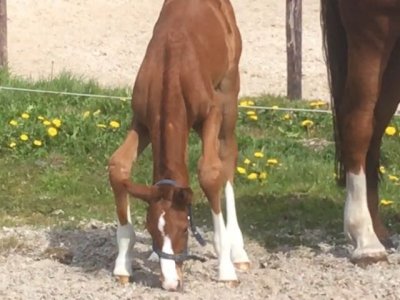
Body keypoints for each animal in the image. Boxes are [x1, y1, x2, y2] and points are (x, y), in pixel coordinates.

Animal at [108, 0, 248, 290]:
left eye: (184, 229)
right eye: (151, 229)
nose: (171, 283)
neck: (171, 70)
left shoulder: (211, 113)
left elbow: (210, 173)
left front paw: (226, 268)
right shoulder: (142, 121)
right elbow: (119, 166)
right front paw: (123, 265)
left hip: (229, 93)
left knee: (228, 157)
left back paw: (238, 250)